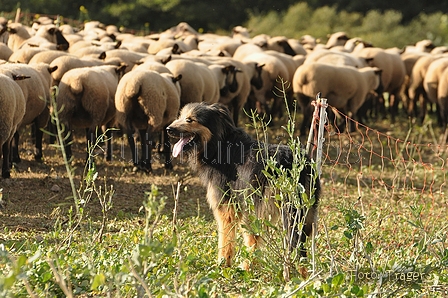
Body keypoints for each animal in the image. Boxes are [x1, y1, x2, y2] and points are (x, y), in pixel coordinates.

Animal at [166, 102, 320, 268]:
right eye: (180, 116)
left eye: (190, 120)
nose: (168, 129)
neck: (219, 143)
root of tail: (291, 161)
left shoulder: (226, 207)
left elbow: (225, 239)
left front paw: (223, 264)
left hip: (256, 211)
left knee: (255, 243)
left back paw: (246, 267)